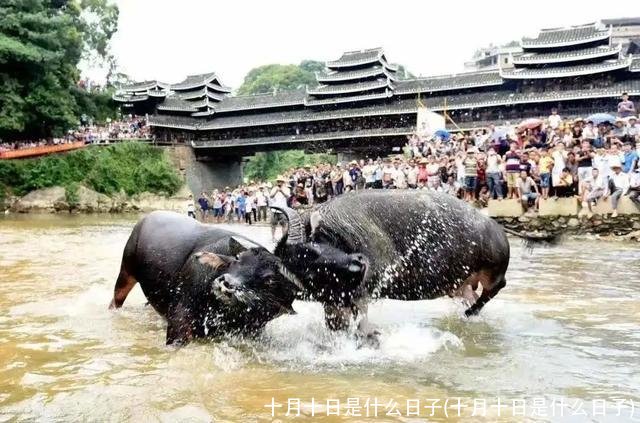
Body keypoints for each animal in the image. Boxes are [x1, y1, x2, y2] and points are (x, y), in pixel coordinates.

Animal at [110, 210, 300, 346]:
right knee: (116, 300)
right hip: (126, 272)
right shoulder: (179, 324)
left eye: (270, 280)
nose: (226, 283)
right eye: (238, 259)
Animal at [272, 191, 552, 334]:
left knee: (496, 288)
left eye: (312, 248)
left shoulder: (363, 290)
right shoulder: (336, 302)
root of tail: (495, 225)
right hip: (461, 285)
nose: (359, 264)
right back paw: (469, 314)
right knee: (475, 297)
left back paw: (469, 313)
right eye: (307, 266)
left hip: (493, 271)